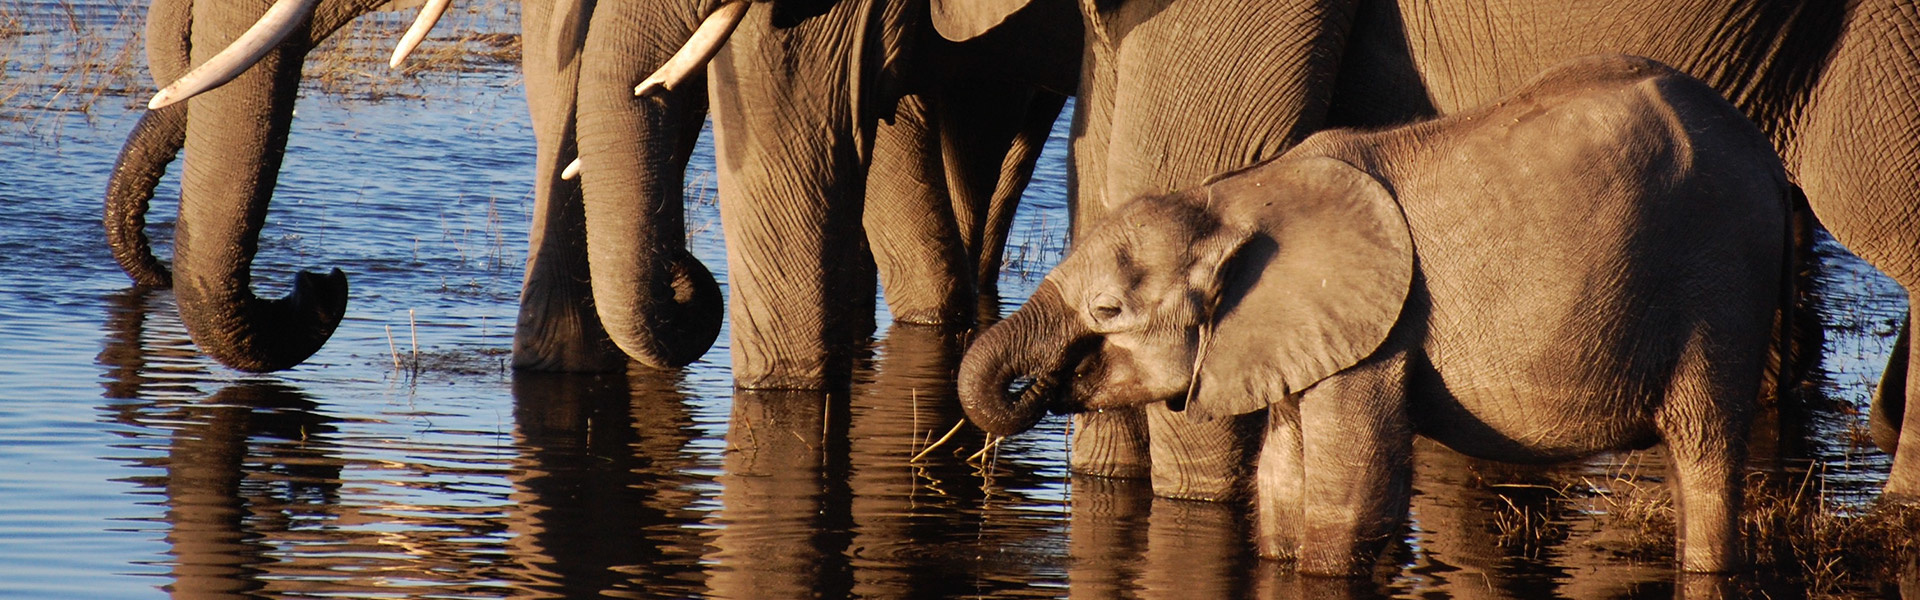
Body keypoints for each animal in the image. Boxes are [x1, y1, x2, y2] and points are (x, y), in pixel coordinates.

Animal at [967, 56, 1789, 576]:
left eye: (1108, 309)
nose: (1047, 383)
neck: (1234, 195)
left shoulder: (1379, 333)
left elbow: (1350, 502)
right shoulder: (1297, 334)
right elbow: (1281, 491)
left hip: (1721, 281)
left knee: (1704, 445)